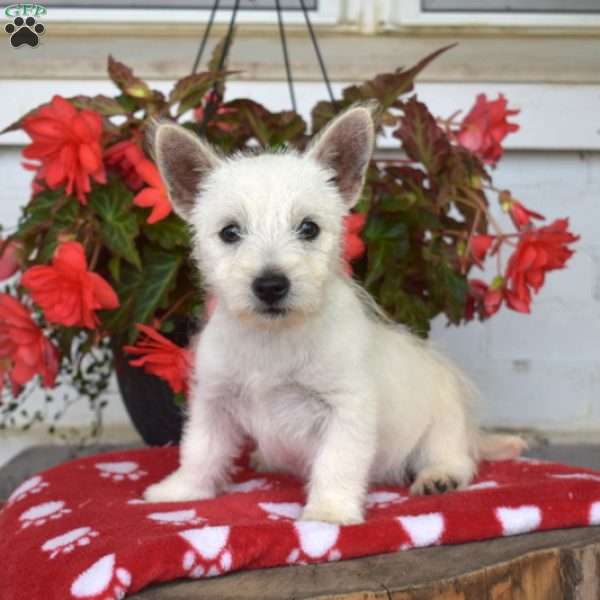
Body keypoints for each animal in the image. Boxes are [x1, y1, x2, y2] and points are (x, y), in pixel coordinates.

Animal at [142, 105, 524, 524]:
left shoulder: (346, 408)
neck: (273, 337)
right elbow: (200, 450)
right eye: (230, 232)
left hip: (442, 426)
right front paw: (181, 490)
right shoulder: (213, 401)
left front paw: (328, 512)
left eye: (309, 228)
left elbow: (336, 463)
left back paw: (440, 476)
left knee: (454, 458)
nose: (271, 285)